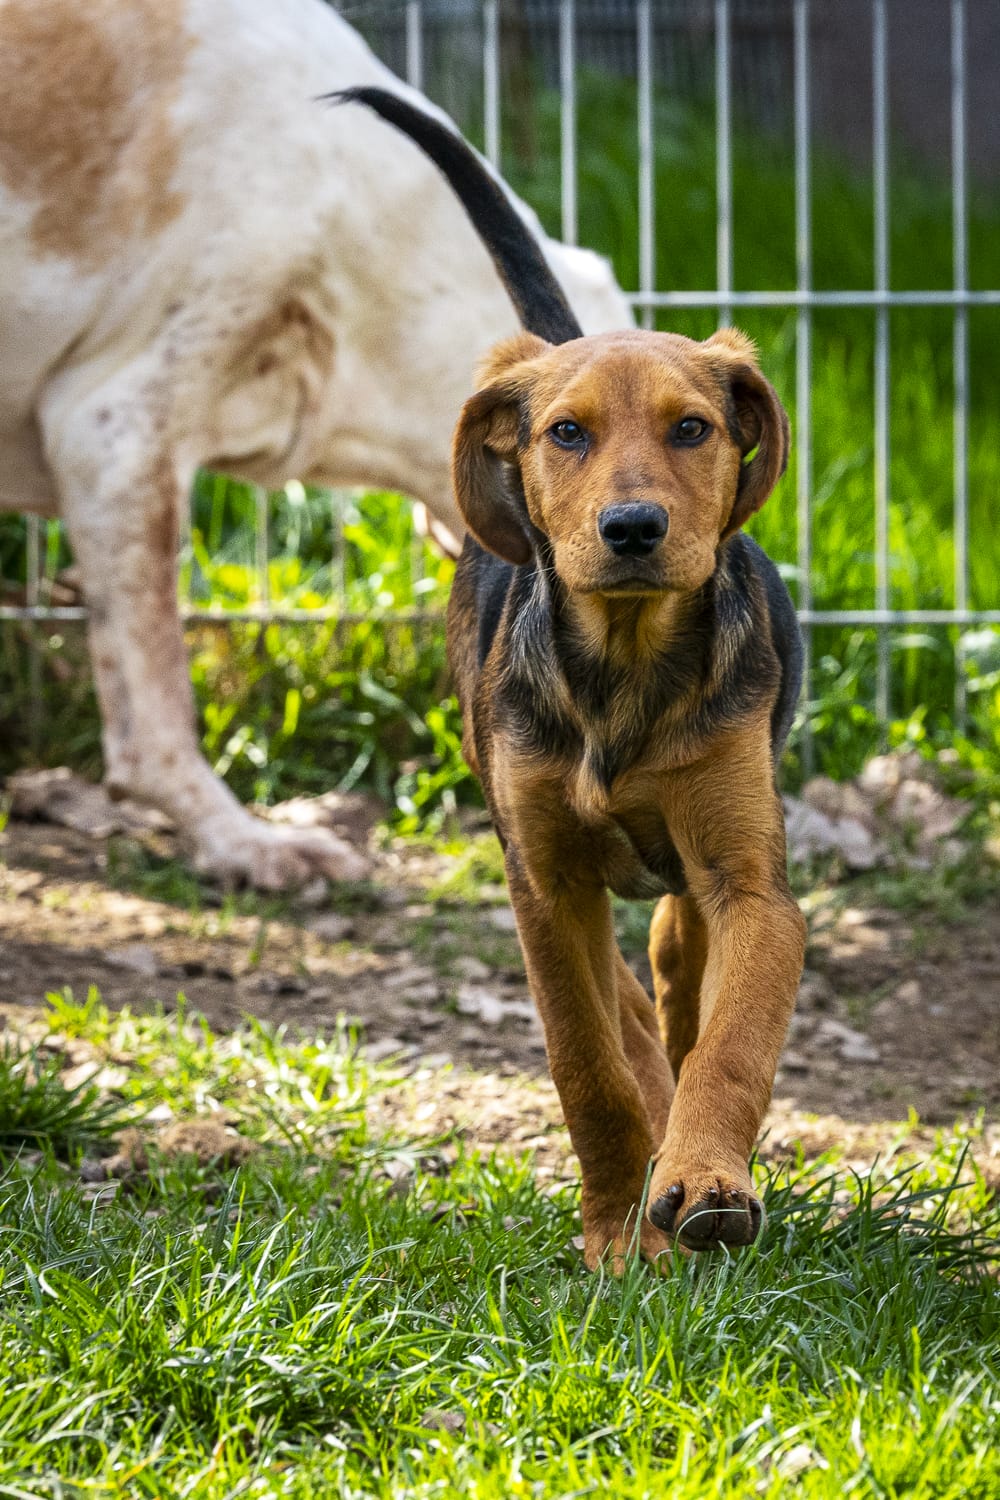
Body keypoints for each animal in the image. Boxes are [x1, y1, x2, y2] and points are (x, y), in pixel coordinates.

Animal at [343, 88, 807, 1266]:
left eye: (692, 429)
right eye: (564, 434)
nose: (632, 527)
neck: (625, 667)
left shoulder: (751, 884)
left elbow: (731, 1044)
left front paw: (706, 1180)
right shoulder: (543, 884)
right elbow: (586, 1064)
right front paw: (612, 1232)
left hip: (690, 876)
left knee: (674, 969)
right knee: (627, 1012)